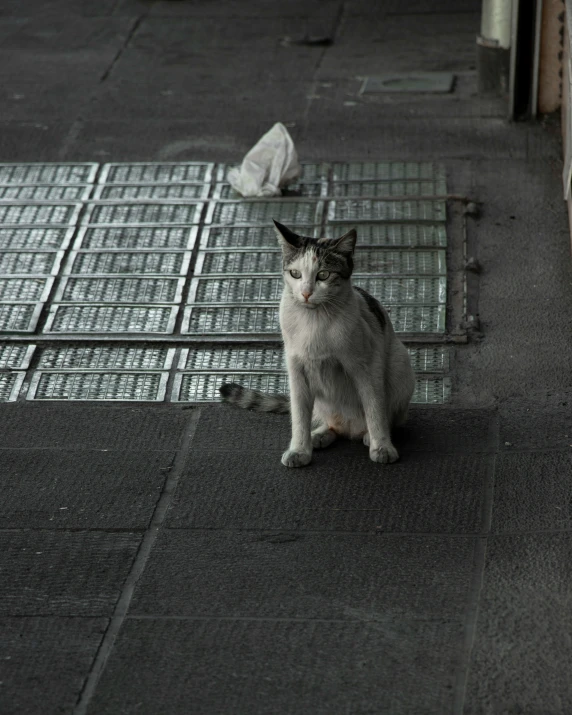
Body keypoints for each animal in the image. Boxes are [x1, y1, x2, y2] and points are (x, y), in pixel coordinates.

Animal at [220, 224, 416, 470]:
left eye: (323, 275)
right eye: (295, 274)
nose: (306, 292)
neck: (314, 322)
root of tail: (351, 428)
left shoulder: (366, 367)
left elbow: (374, 409)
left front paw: (381, 447)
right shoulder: (296, 369)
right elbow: (299, 415)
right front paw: (299, 450)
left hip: (400, 367)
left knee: (387, 417)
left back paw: (369, 436)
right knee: (332, 424)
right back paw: (320, 435)